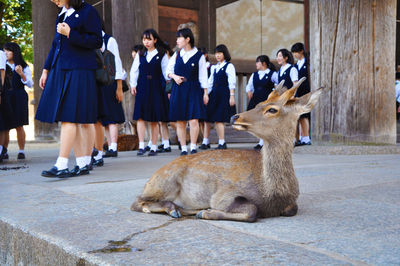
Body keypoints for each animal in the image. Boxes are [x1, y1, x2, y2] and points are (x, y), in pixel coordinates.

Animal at [131, 77, 322, 222]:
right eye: (260, 102)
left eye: (272, 109)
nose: (235, 116)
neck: (271, 193)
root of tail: (151, 179)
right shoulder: (224, 193)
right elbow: (252, 210)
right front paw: (207, 212)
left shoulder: (291, 203)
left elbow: (292, 209)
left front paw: (204, 211)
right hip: (163, 182)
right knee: (136, 201)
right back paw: (173, 209)